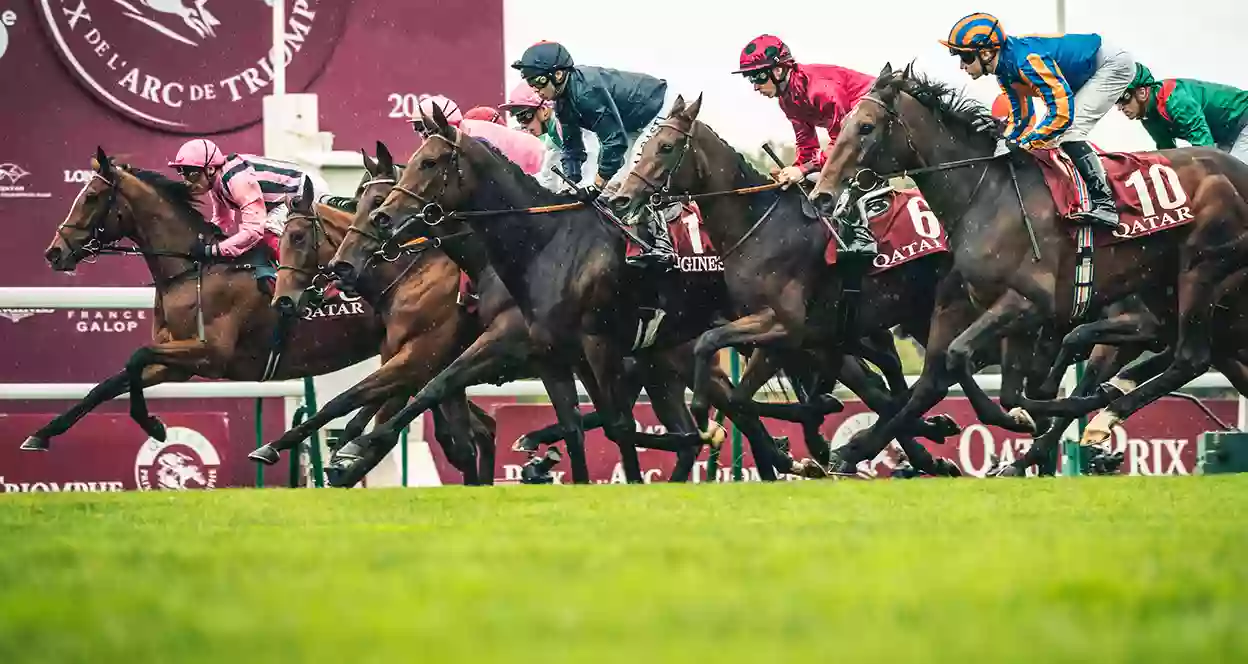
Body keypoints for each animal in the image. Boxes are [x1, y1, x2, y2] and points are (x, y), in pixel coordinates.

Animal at [24, 147, 381, 454]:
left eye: (92, 197)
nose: (54, 252)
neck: (193, 269)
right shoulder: (176, 364)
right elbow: (109, 383)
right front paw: (42, 434)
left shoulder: (210, 354)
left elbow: (137, 356)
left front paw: (154, 426)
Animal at [808, 63, 1248, 466]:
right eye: (842, 124)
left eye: (866, 126)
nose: (822, 195)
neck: (988, 195)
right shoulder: (1008, 313)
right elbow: (999, 386)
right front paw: (1032, 415)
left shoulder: (1028, 303)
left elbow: (959, 356)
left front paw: (1046, 414)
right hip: (1162, 287)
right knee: (1178, 348)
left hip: (1200, 268)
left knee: (1191, 357)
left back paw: (1103, 416)